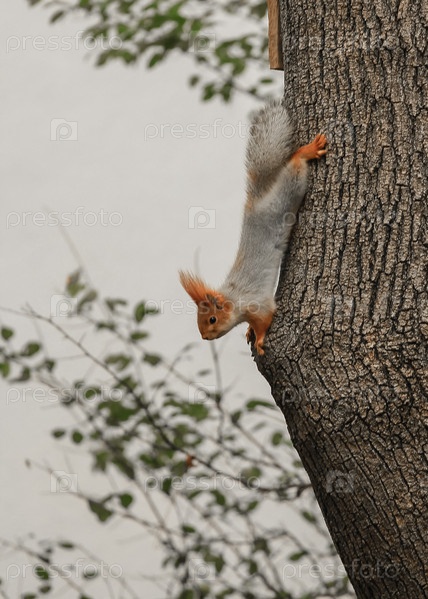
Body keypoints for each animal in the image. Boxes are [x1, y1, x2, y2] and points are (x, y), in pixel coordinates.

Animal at [180, 100, 327, 355]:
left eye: (212, 319)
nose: (205, 337)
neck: (233, 298)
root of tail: (257, 201)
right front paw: (249, 331)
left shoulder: (257, 303)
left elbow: (265, 320)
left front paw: (259, 339)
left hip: (288, 192)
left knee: (296, 164)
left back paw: (307, 150)